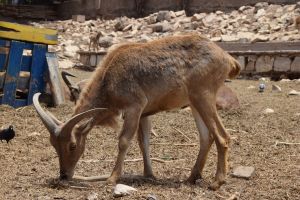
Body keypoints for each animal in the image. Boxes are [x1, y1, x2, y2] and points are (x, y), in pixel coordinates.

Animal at [33, 33, 239, 190]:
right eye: (53, 144)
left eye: (73, 145)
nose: (64, 175)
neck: (109, 77)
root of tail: (227, 58)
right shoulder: (144, 114)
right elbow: (143, 141)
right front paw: (149, 174)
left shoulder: (134, 107)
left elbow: (124, 141)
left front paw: (112, 178)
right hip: (195, 103)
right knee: (206, 137)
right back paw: (192, 177)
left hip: (203, 96)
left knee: (222, 137)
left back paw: (217, 182)